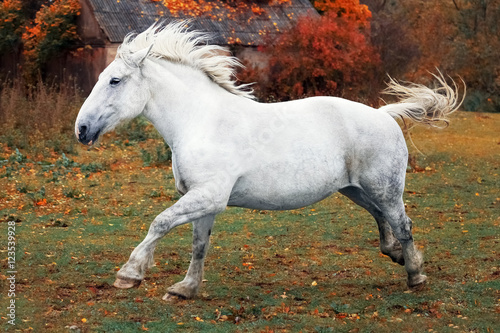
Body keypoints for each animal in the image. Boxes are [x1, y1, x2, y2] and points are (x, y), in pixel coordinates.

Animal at [75, 22, 460, 300]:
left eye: (114, 80)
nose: (82, 129)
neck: (201, 121)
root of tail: (384, 114)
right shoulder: (205, 201)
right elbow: (199, 245)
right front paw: (185, 289)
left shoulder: (208, 196)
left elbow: (160, 222)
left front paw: (129, 274)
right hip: (356, 190)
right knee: (384, 221)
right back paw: (398, 256)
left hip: (385, 189)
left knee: (402, 224)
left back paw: (415, 275)